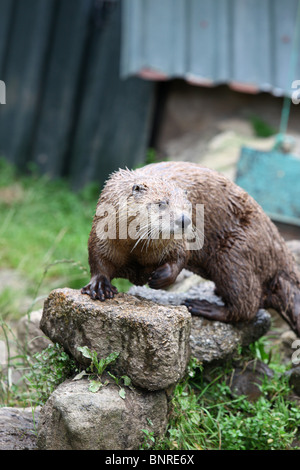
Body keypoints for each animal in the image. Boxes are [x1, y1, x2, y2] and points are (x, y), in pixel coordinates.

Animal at [81, 160, 300, 336]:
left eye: (188, 206)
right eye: (161, 203)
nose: (183, 220)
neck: (138, 252)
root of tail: (280, 253)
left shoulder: (178, 244)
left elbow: (180, 258)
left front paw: (160, 277)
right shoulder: (101, 233)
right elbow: (98, 259)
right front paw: (99, 287)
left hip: (235, 252)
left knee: (247, 304)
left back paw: (202, 306)